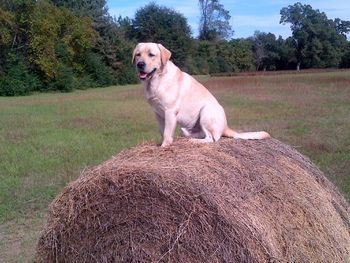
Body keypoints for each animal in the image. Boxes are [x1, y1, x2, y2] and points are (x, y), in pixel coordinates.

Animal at [133, 42, 270, 147]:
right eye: (138, 54)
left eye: (151, 55)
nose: (140, 64)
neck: (157, 80)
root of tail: (226, 127)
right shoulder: (158, 114)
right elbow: (163, 132)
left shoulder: (170, 111)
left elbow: (167, 133)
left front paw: (164, 146)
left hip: (206, 112)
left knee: (212, 138)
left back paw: (195, 141)